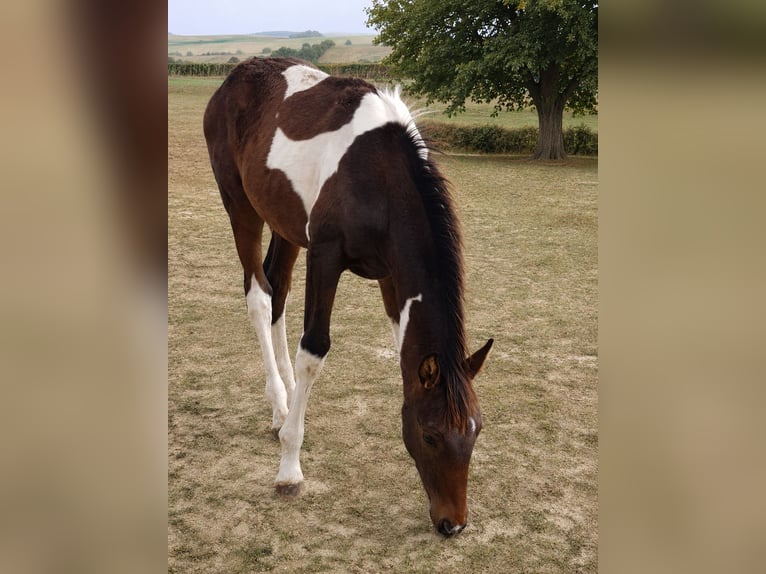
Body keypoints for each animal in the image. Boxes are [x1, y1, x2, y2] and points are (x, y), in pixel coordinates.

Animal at [203, 57, 493, 536]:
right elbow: (314, 349)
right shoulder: (325, 256)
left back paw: (286, 403)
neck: (377, 175)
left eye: (475, 430)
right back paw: (281, 406)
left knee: (277, 292)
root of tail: (236, 75)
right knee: (259, 297)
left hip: (285, 225)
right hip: (241, 207)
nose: (453, 524)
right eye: (430, 435)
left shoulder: (392, 277)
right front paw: (289, 467)